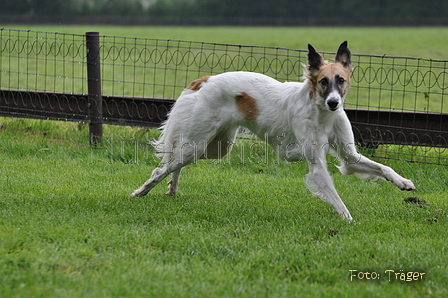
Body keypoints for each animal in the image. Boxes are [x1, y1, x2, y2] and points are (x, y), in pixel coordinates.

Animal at [130, 40, 416, 220]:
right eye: (323, 81)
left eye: (341, 80)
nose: (334, 103)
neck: (321, 114)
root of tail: (202, 80)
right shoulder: (316, 164)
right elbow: (334, 194)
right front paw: (348, 219)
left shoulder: (350, 157)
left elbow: (382, 168)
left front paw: (403, 182)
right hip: (200, 143)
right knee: (162, 168)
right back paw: (141, 192)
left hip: (216, 147)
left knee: (175, 165)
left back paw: (172, 188)